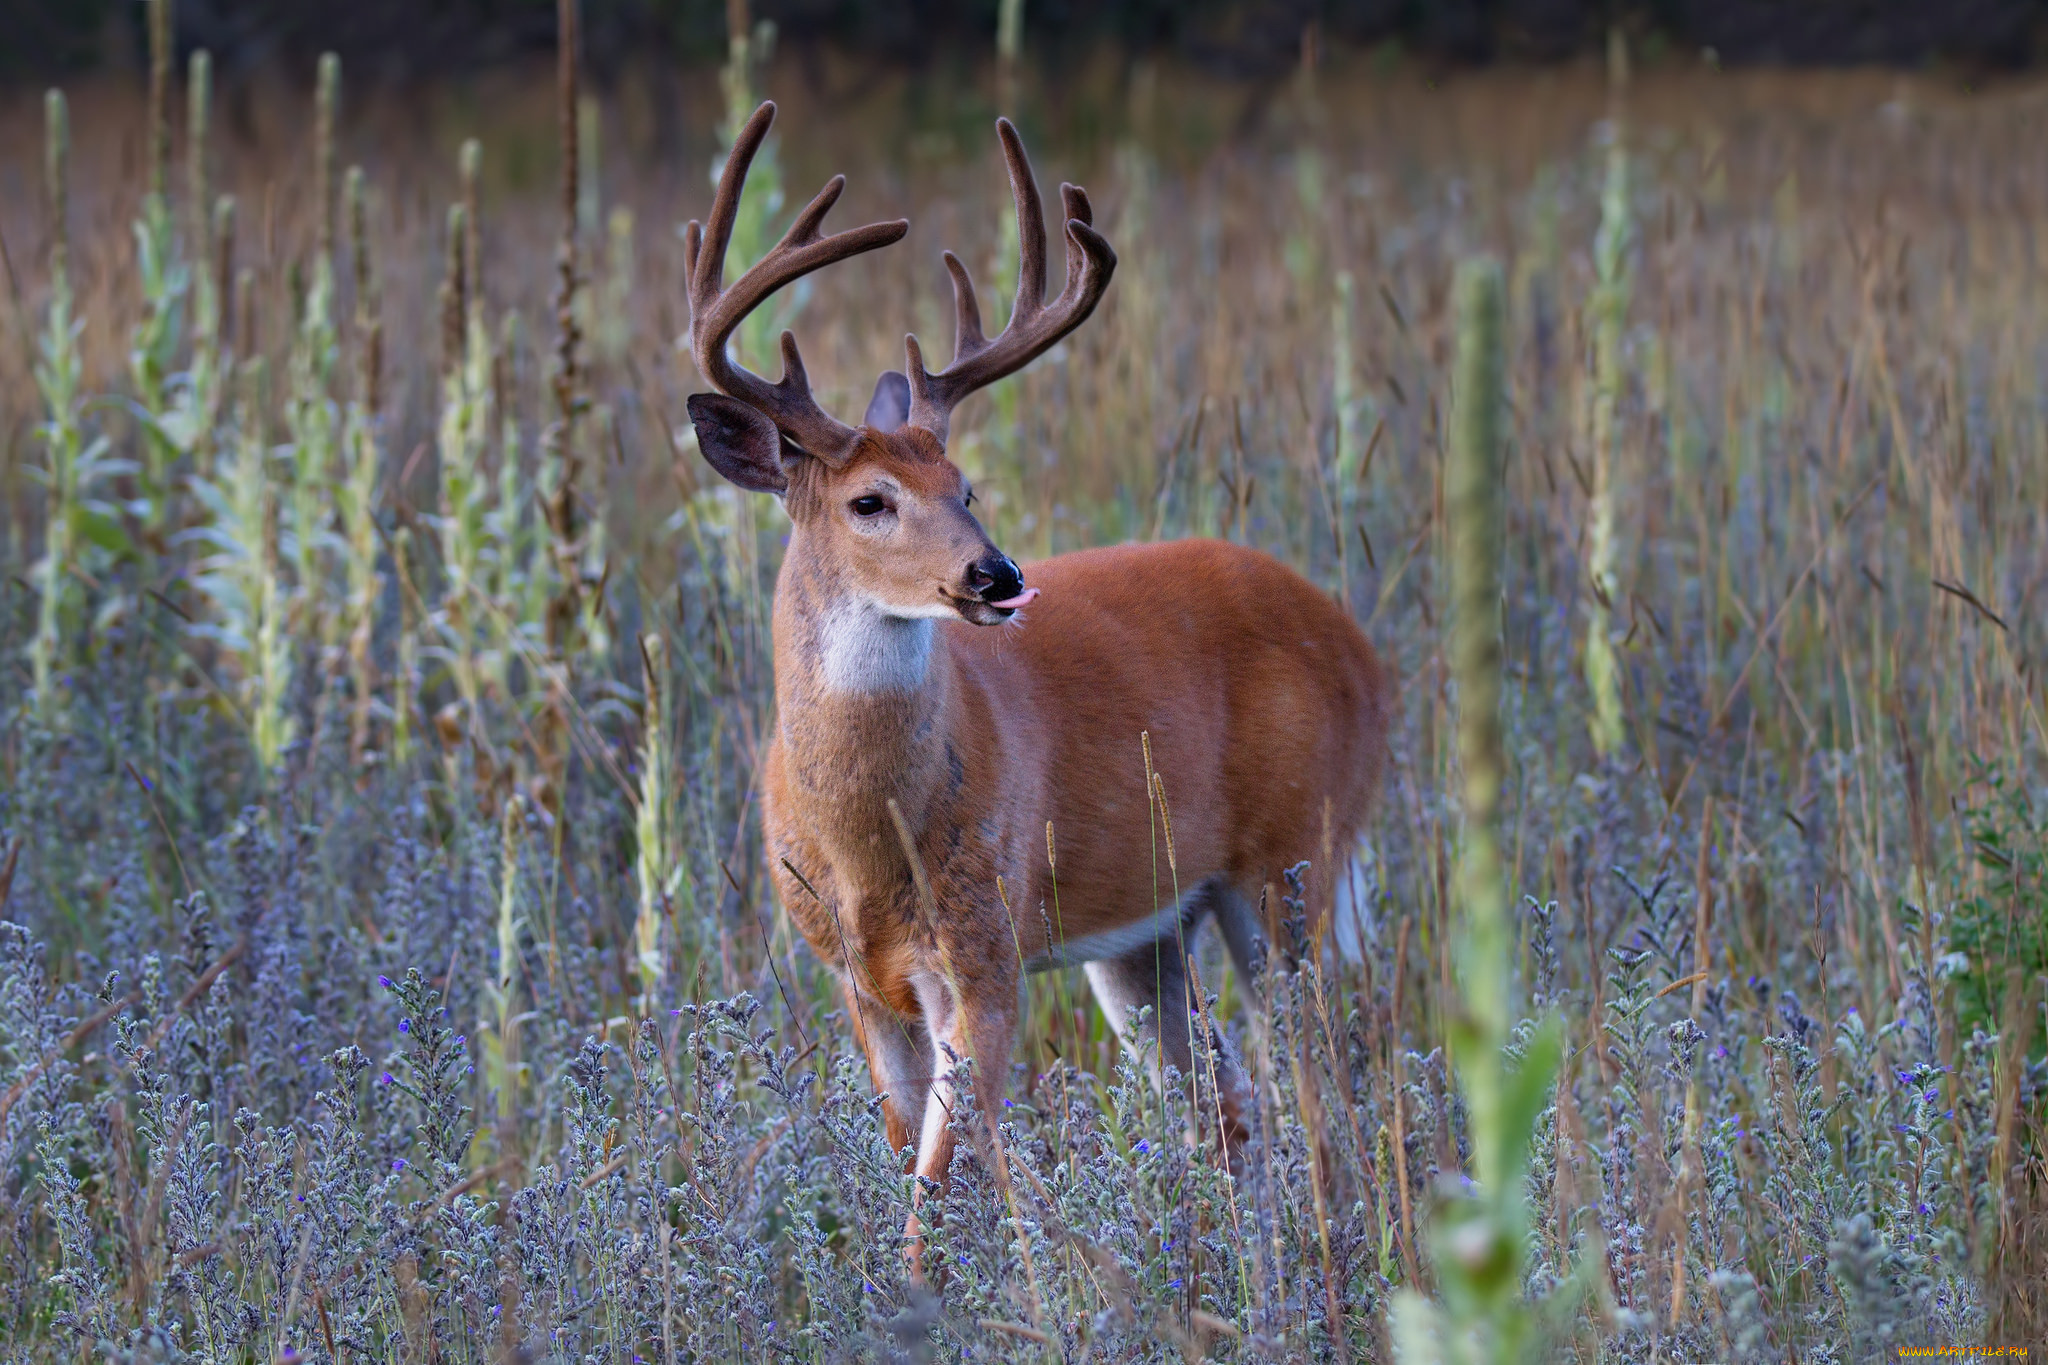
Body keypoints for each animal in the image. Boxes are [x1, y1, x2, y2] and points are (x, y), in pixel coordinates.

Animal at [688, 101, 1392, 1277]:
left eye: (965, 485)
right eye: (871, 500)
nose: (996, 574)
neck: (867, 838)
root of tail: (1362, 651)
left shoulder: (987, 948)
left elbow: (943, 1186)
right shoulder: (856, 979)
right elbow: (918, 1161)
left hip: (1294, 858)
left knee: (1322, 1078)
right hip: (1152, 925)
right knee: (1228, 1102)